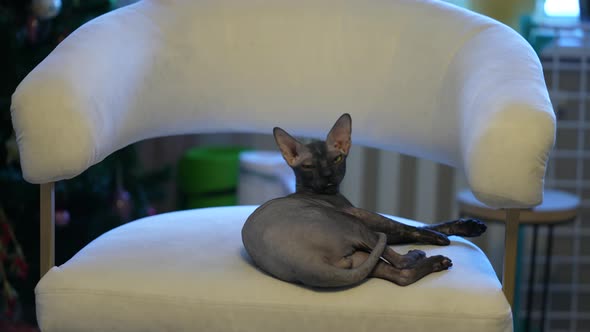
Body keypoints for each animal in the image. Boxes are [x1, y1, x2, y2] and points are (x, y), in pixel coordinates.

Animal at [243, 113, 488, 286]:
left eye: (336, 159)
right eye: (309, 166)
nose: (327, 176)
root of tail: (304, 263)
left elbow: (421, 226)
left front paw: (470, 227)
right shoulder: (363, 215)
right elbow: (414, 227)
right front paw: (443, 236)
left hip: (358, 259)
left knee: (402, 276)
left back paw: (436, 262)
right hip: (355, 226)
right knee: (399, 260)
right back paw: (420, 254)